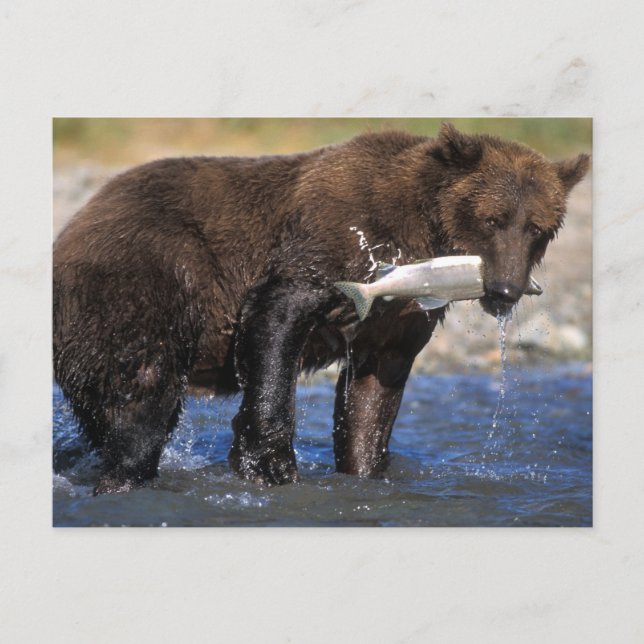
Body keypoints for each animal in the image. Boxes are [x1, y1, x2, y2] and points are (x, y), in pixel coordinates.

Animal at [53, 123, 590, 493]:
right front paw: (268, 462)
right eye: (492, 219)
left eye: (538, 227)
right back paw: (125, 477)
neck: (419, 234)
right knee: (143, 402)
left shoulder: (397, 319)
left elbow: (373, 394)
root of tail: (74, 225)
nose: (505, 289)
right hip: (145, 285)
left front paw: (363, 466)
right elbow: (276, 318)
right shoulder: (334, 239)